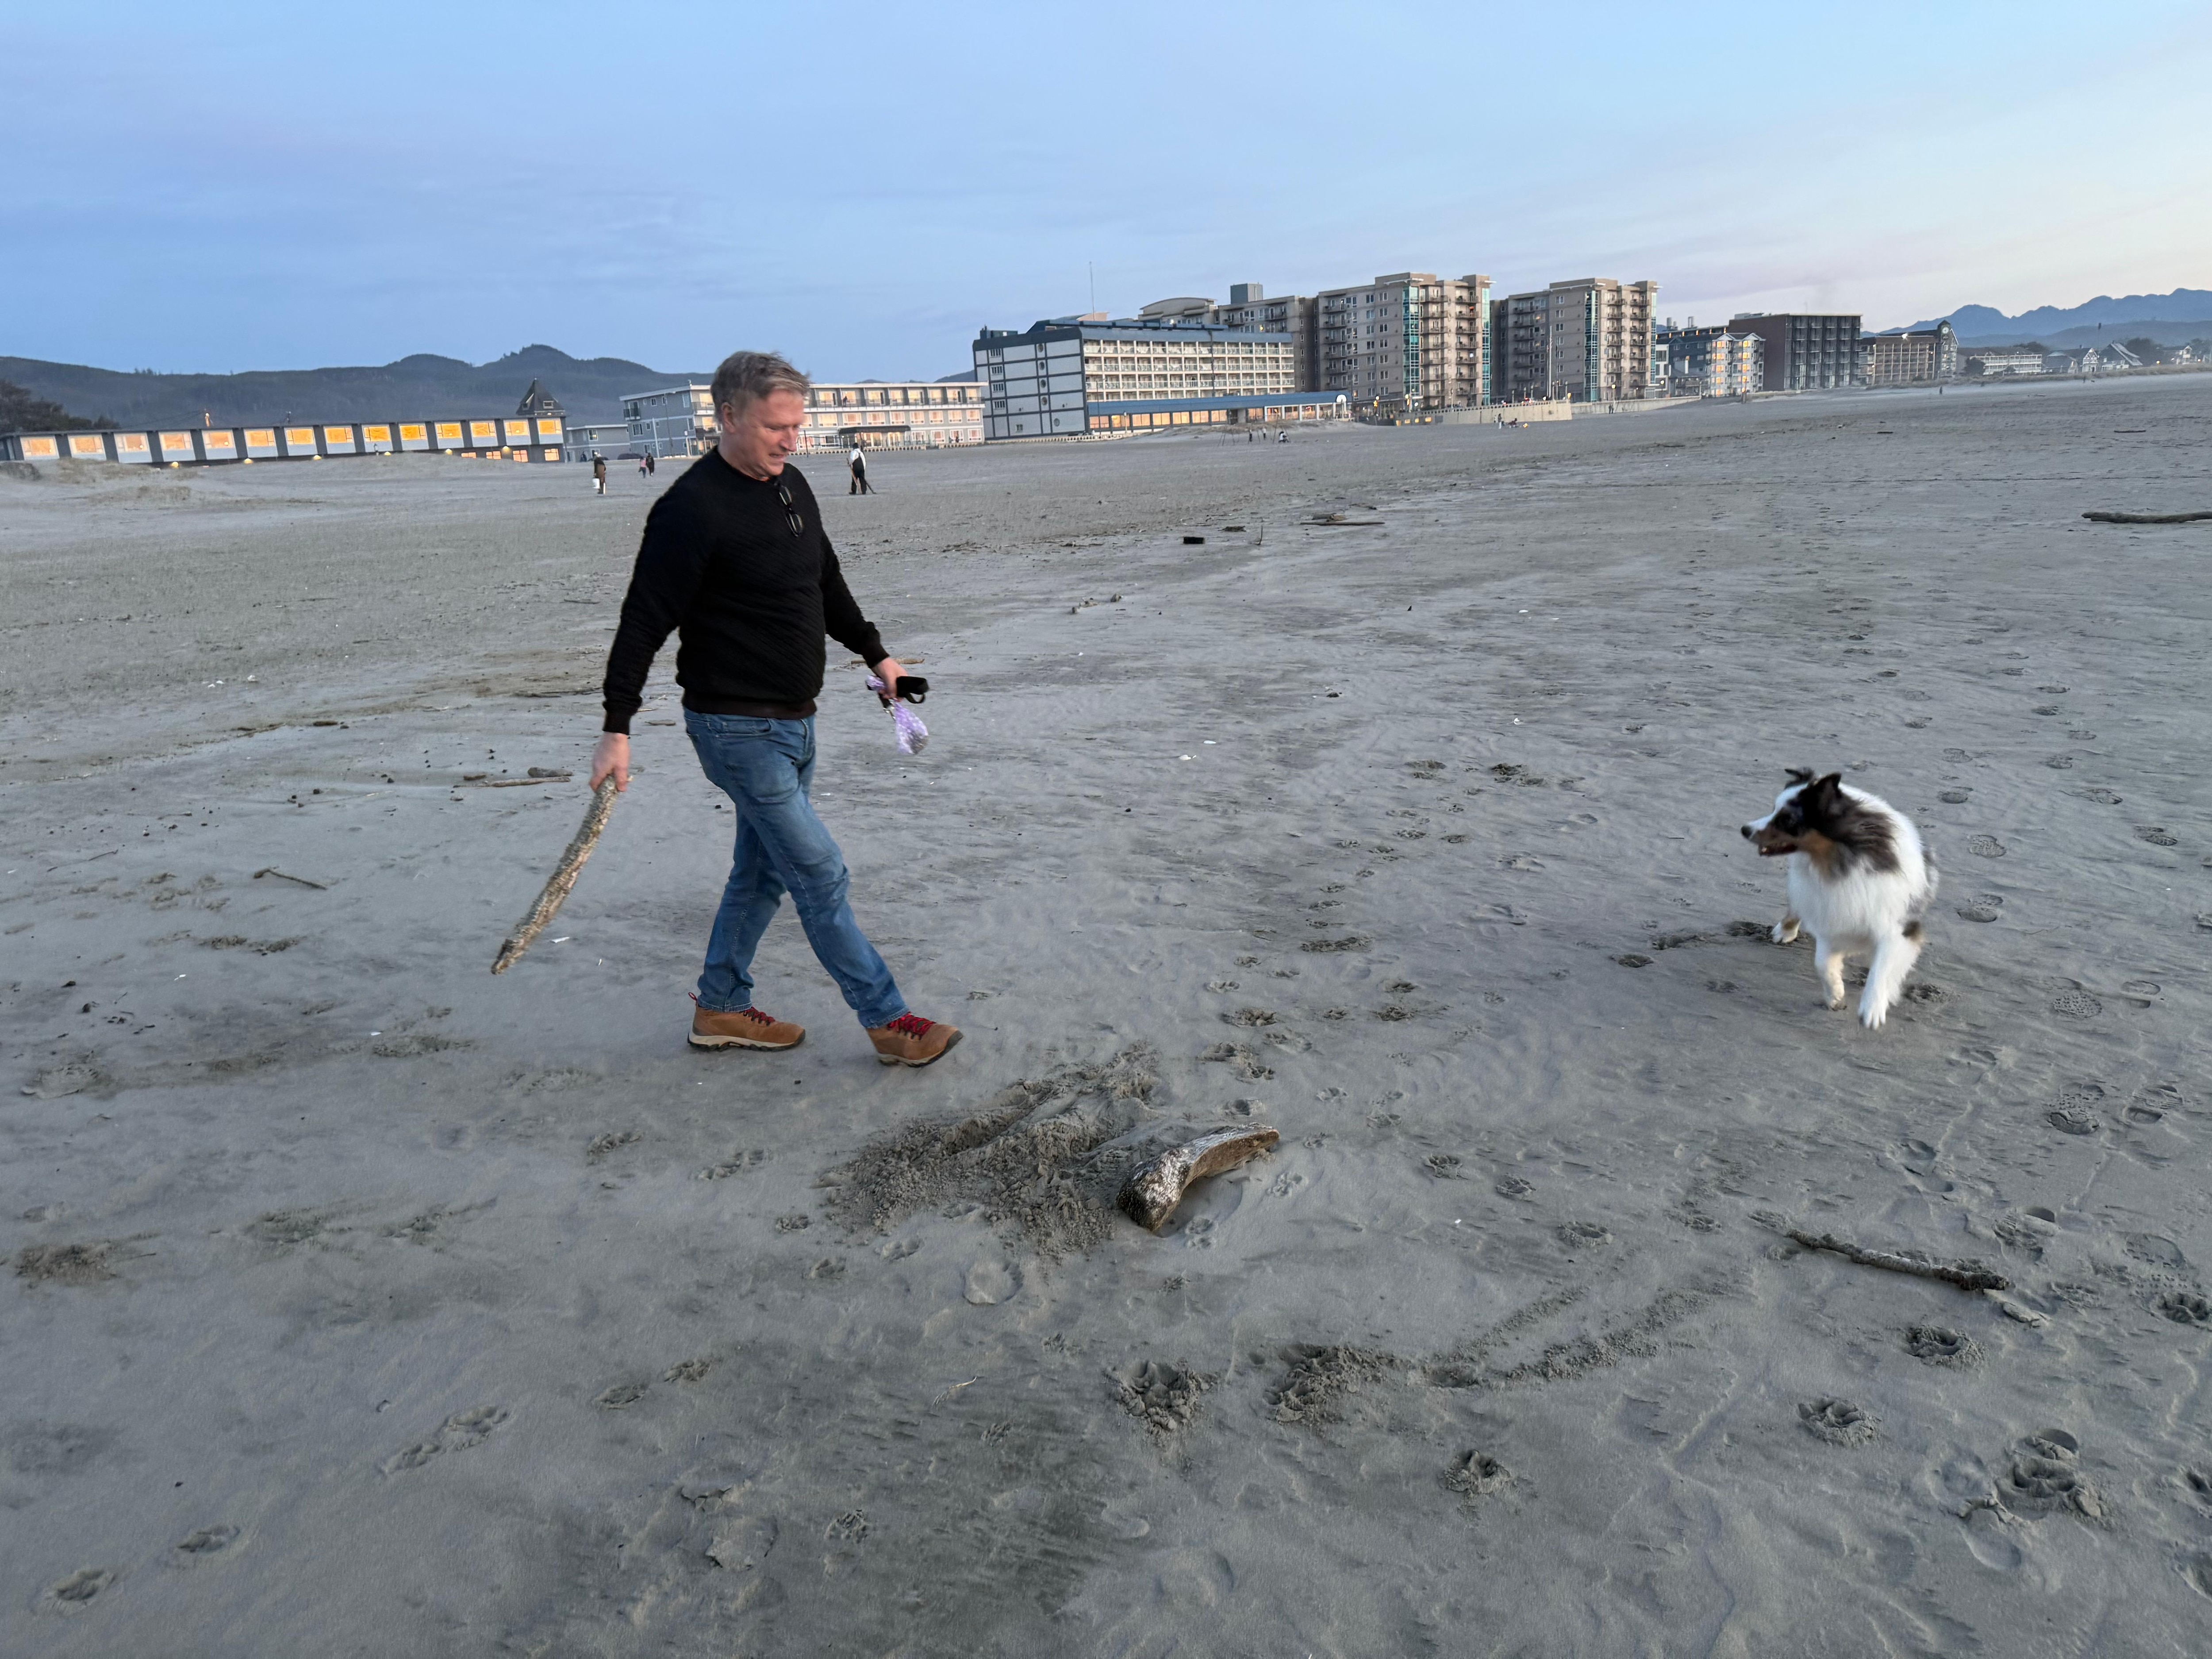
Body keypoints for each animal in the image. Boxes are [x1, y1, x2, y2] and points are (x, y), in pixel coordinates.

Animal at [1743, 774, 1938, 1035]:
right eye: (1773, 810)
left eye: (1788, 820)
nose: (1745, 829)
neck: (1842, 861)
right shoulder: (1832, 918)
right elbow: (1822, 964)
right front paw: (1835, 995)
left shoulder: (1898, 928)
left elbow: (1881, 969)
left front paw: (1872, 1009)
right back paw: (1786, 930)